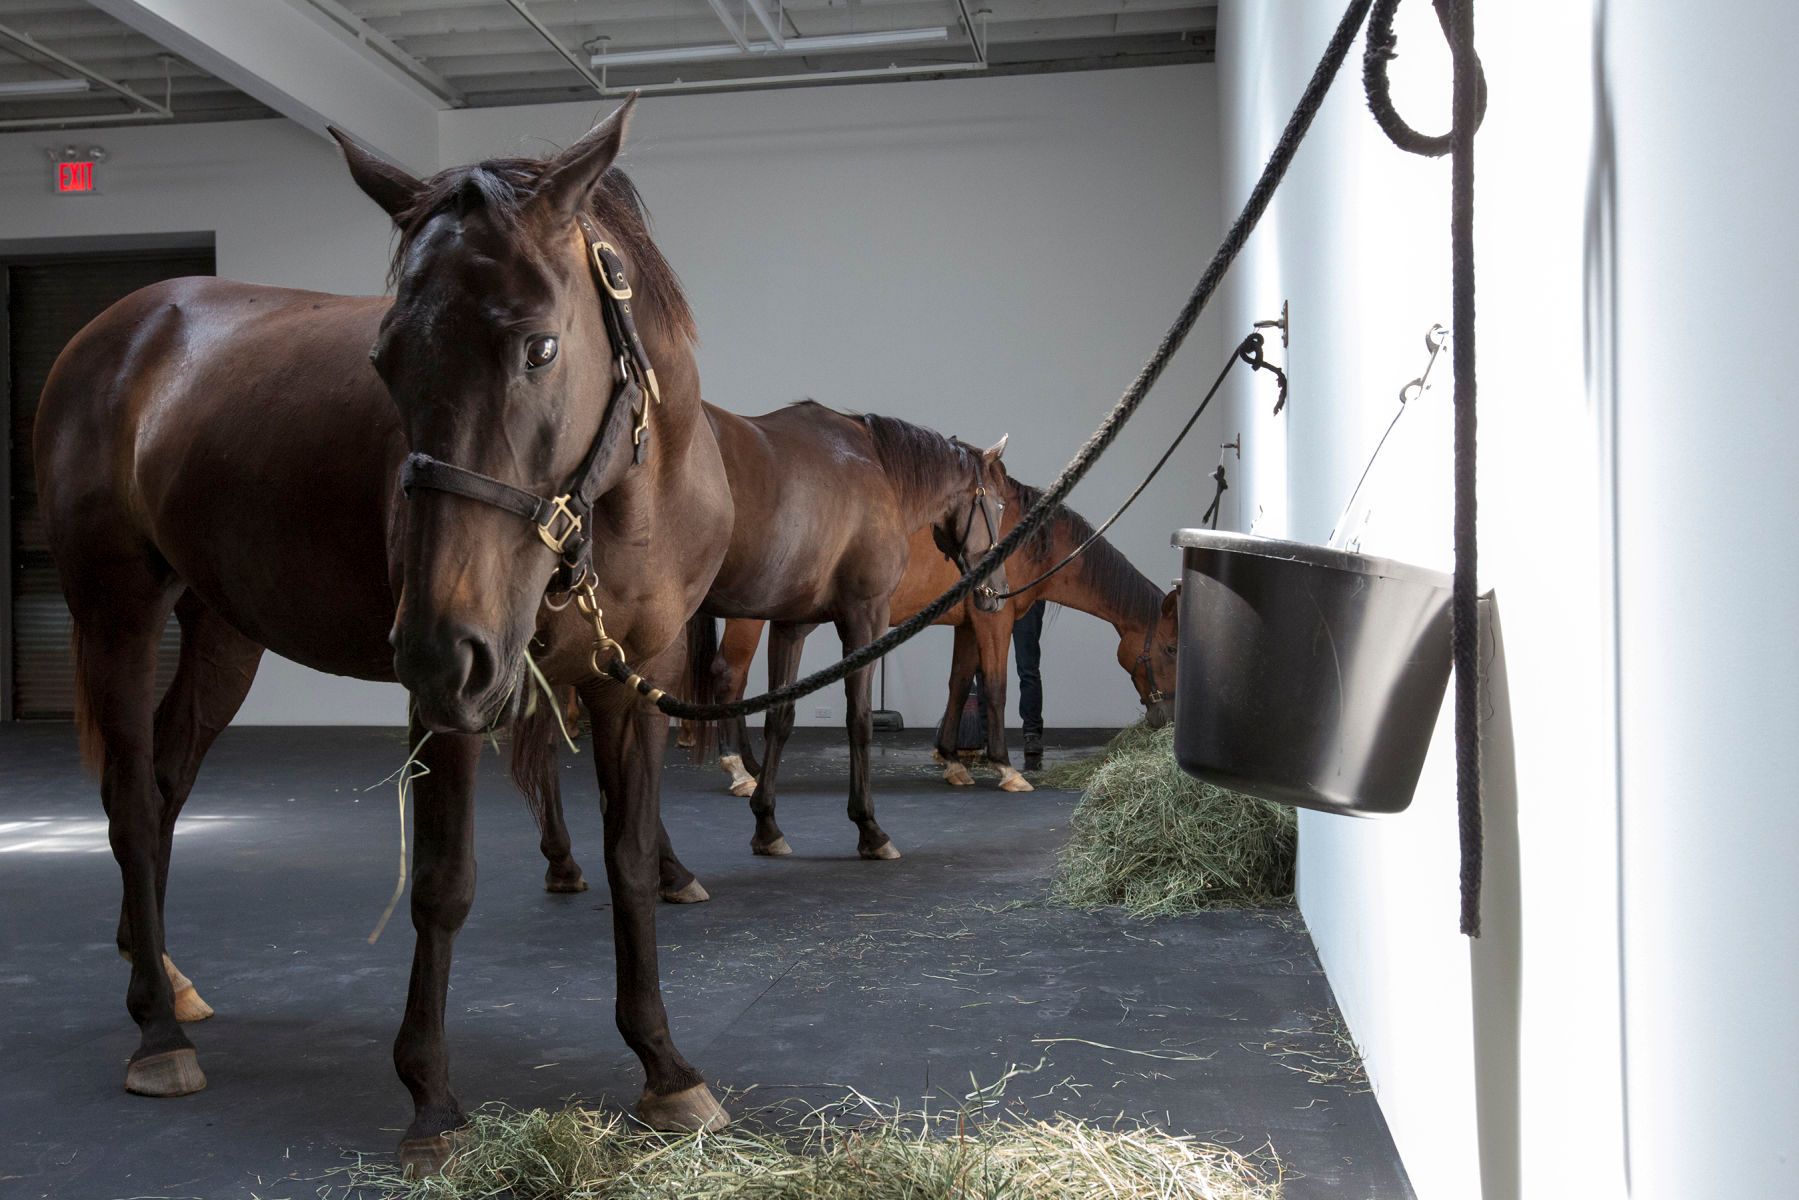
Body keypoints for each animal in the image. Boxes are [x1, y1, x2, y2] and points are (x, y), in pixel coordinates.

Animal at [34, 98, 737, 1172]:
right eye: (384, 361)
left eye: (539, 348)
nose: (436, 646)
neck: (619, 503)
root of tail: (115, 331)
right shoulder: (453, 698)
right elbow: (444, 882)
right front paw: (432, 1101)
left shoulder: (628, 684)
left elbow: (629, 863)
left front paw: (665, 1068)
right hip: (115, 611)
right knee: (129, 803)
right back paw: (156, 1031)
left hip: (225, 634)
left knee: (163, 785)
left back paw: (165, 983)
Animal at [523, 401, 1010, 887]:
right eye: (999, 504)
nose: (997, 591)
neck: (878, 468)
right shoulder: (865, 619)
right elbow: (859, 720)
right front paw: (869, 828)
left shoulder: (790, 625)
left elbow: (781, 717)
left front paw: (767, 824)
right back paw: (667, 867)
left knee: (548, 740)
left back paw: (565, 860)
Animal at [711, 473, 1180, 797]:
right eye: (1172, 648)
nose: (1168, 717)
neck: (1024, 539)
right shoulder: (995, 622)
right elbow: (995, 688)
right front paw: (1006, 768)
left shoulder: (970, 623)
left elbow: (958, 685)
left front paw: (953, 760)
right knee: (728, 676)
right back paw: (738, 770)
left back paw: (752, 763)